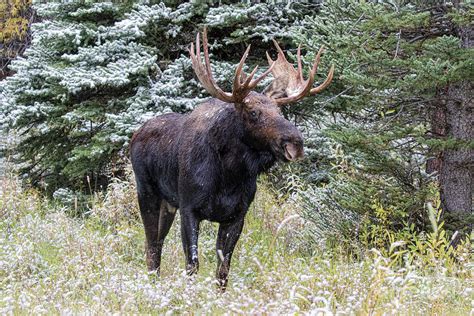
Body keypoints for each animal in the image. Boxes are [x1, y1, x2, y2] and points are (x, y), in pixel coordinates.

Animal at [130, 29, 334, 288]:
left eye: (280, 111)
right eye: (254, 112)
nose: (295, 143)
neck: (229, 175)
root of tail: (135, 135)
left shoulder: (237, 214)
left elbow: (223, 269)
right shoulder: (189, 208)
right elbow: (192, 264)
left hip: (168, 204)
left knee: (157, 242)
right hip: (147, 193)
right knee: (152, 246)